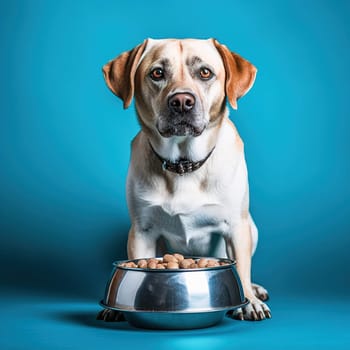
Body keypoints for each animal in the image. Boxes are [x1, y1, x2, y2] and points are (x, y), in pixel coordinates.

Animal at [102, 37, 272, 320]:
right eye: (157, 73)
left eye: (205, 72)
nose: (182, 101)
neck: (184, 165)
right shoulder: (141, 232)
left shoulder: (236, 226)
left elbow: (242, 269)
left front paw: (248, 300)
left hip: (252, 228)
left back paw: (256, 289)